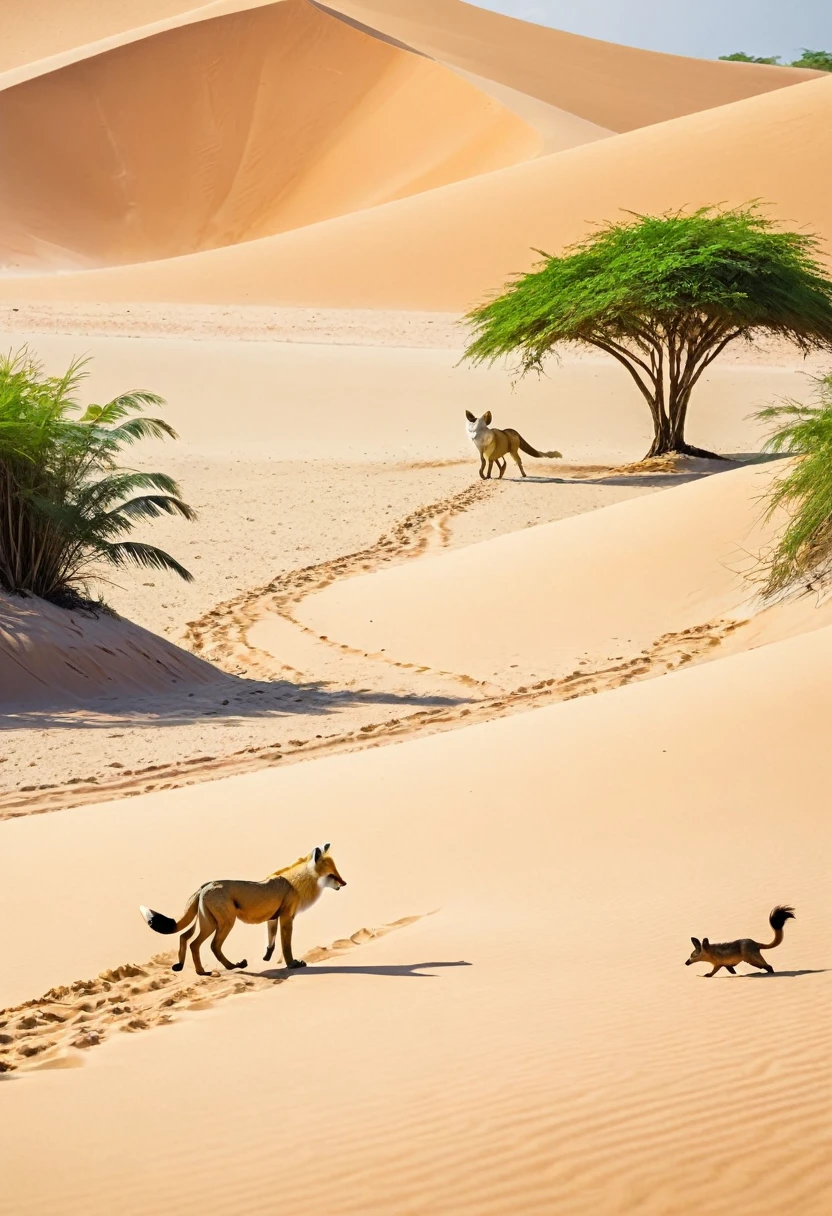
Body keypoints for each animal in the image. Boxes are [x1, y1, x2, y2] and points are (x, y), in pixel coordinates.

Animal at [138, 846, 345, 977]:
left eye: (337, 872)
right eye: (332, 875)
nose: (344, 883)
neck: (294, 884)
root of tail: (205, 885)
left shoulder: (273, 919)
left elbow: (271, 942)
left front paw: (267, 957)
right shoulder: (287, 918)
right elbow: (286, 946)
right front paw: (292, 965)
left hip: (206, 922)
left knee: (185, 937)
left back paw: (184, 967)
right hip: (224, 923)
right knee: (207, 945)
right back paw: (220, 968)